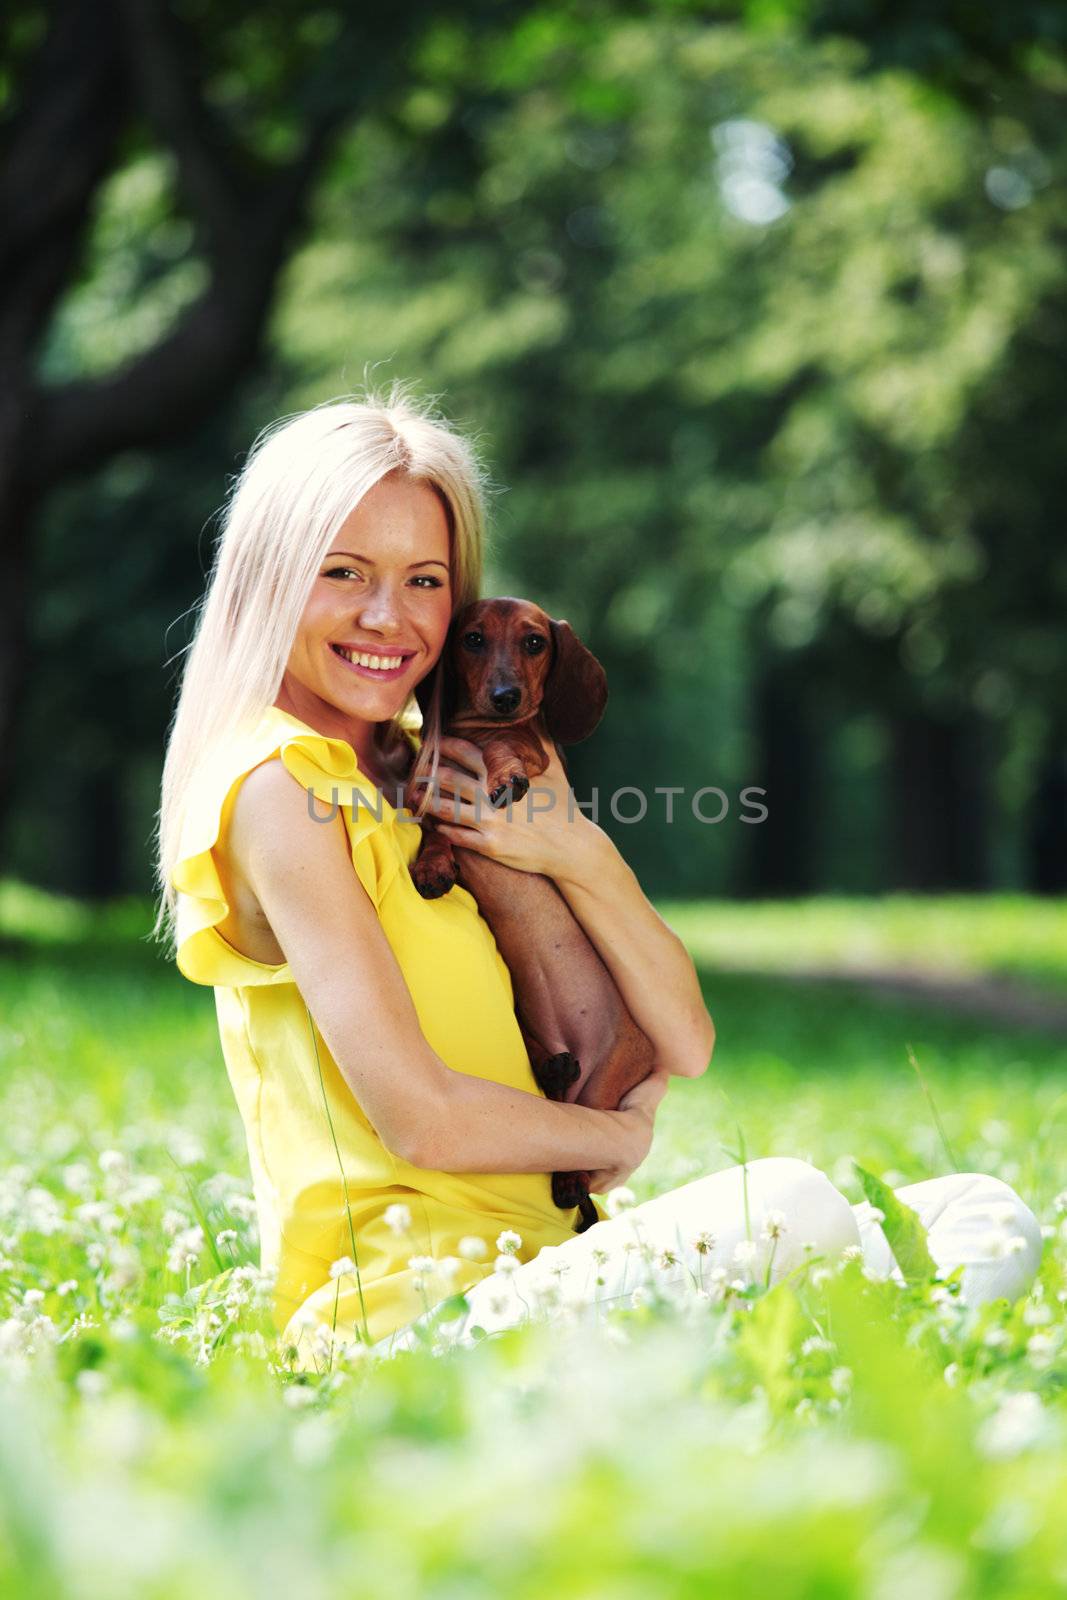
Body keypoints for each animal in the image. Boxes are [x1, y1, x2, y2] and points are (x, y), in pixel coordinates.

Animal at [399, 595, 655, 1228]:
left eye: (535, 642)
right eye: (472, 638)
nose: (506, 696)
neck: (471, 728)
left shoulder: (530, 748)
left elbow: (506, 748)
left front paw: (503, 773)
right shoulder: (428, 792)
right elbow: (433, 829)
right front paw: (433, 867)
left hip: (609, 1077)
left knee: (580, 1135)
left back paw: (569, 1181)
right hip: (528, 1018)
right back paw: (551, 1068)